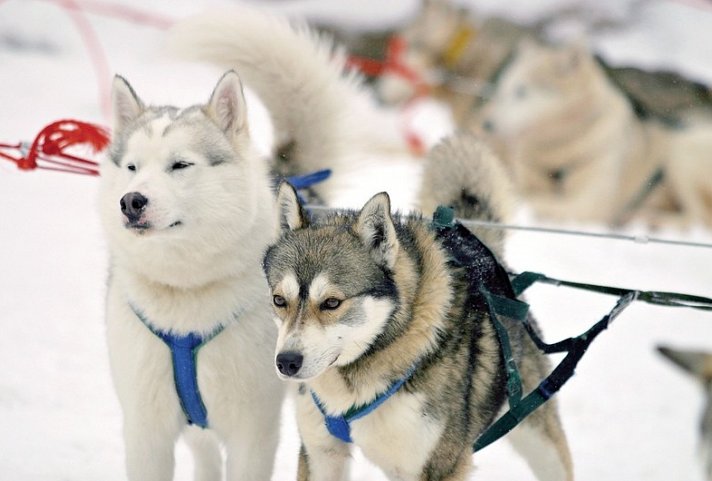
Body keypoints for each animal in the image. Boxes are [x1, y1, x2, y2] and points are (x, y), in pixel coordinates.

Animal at [98, 72, 286, 480]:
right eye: (132, 168)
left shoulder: (254, 431)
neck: (185, 289)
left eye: (180, 165)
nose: (130, 201)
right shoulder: (146, 429)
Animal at [262, 132, 572, 480]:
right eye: (279, 300)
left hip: (538, 436)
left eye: (331, 302)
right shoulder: (321, 454)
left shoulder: (438, 466)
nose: (287, 362)